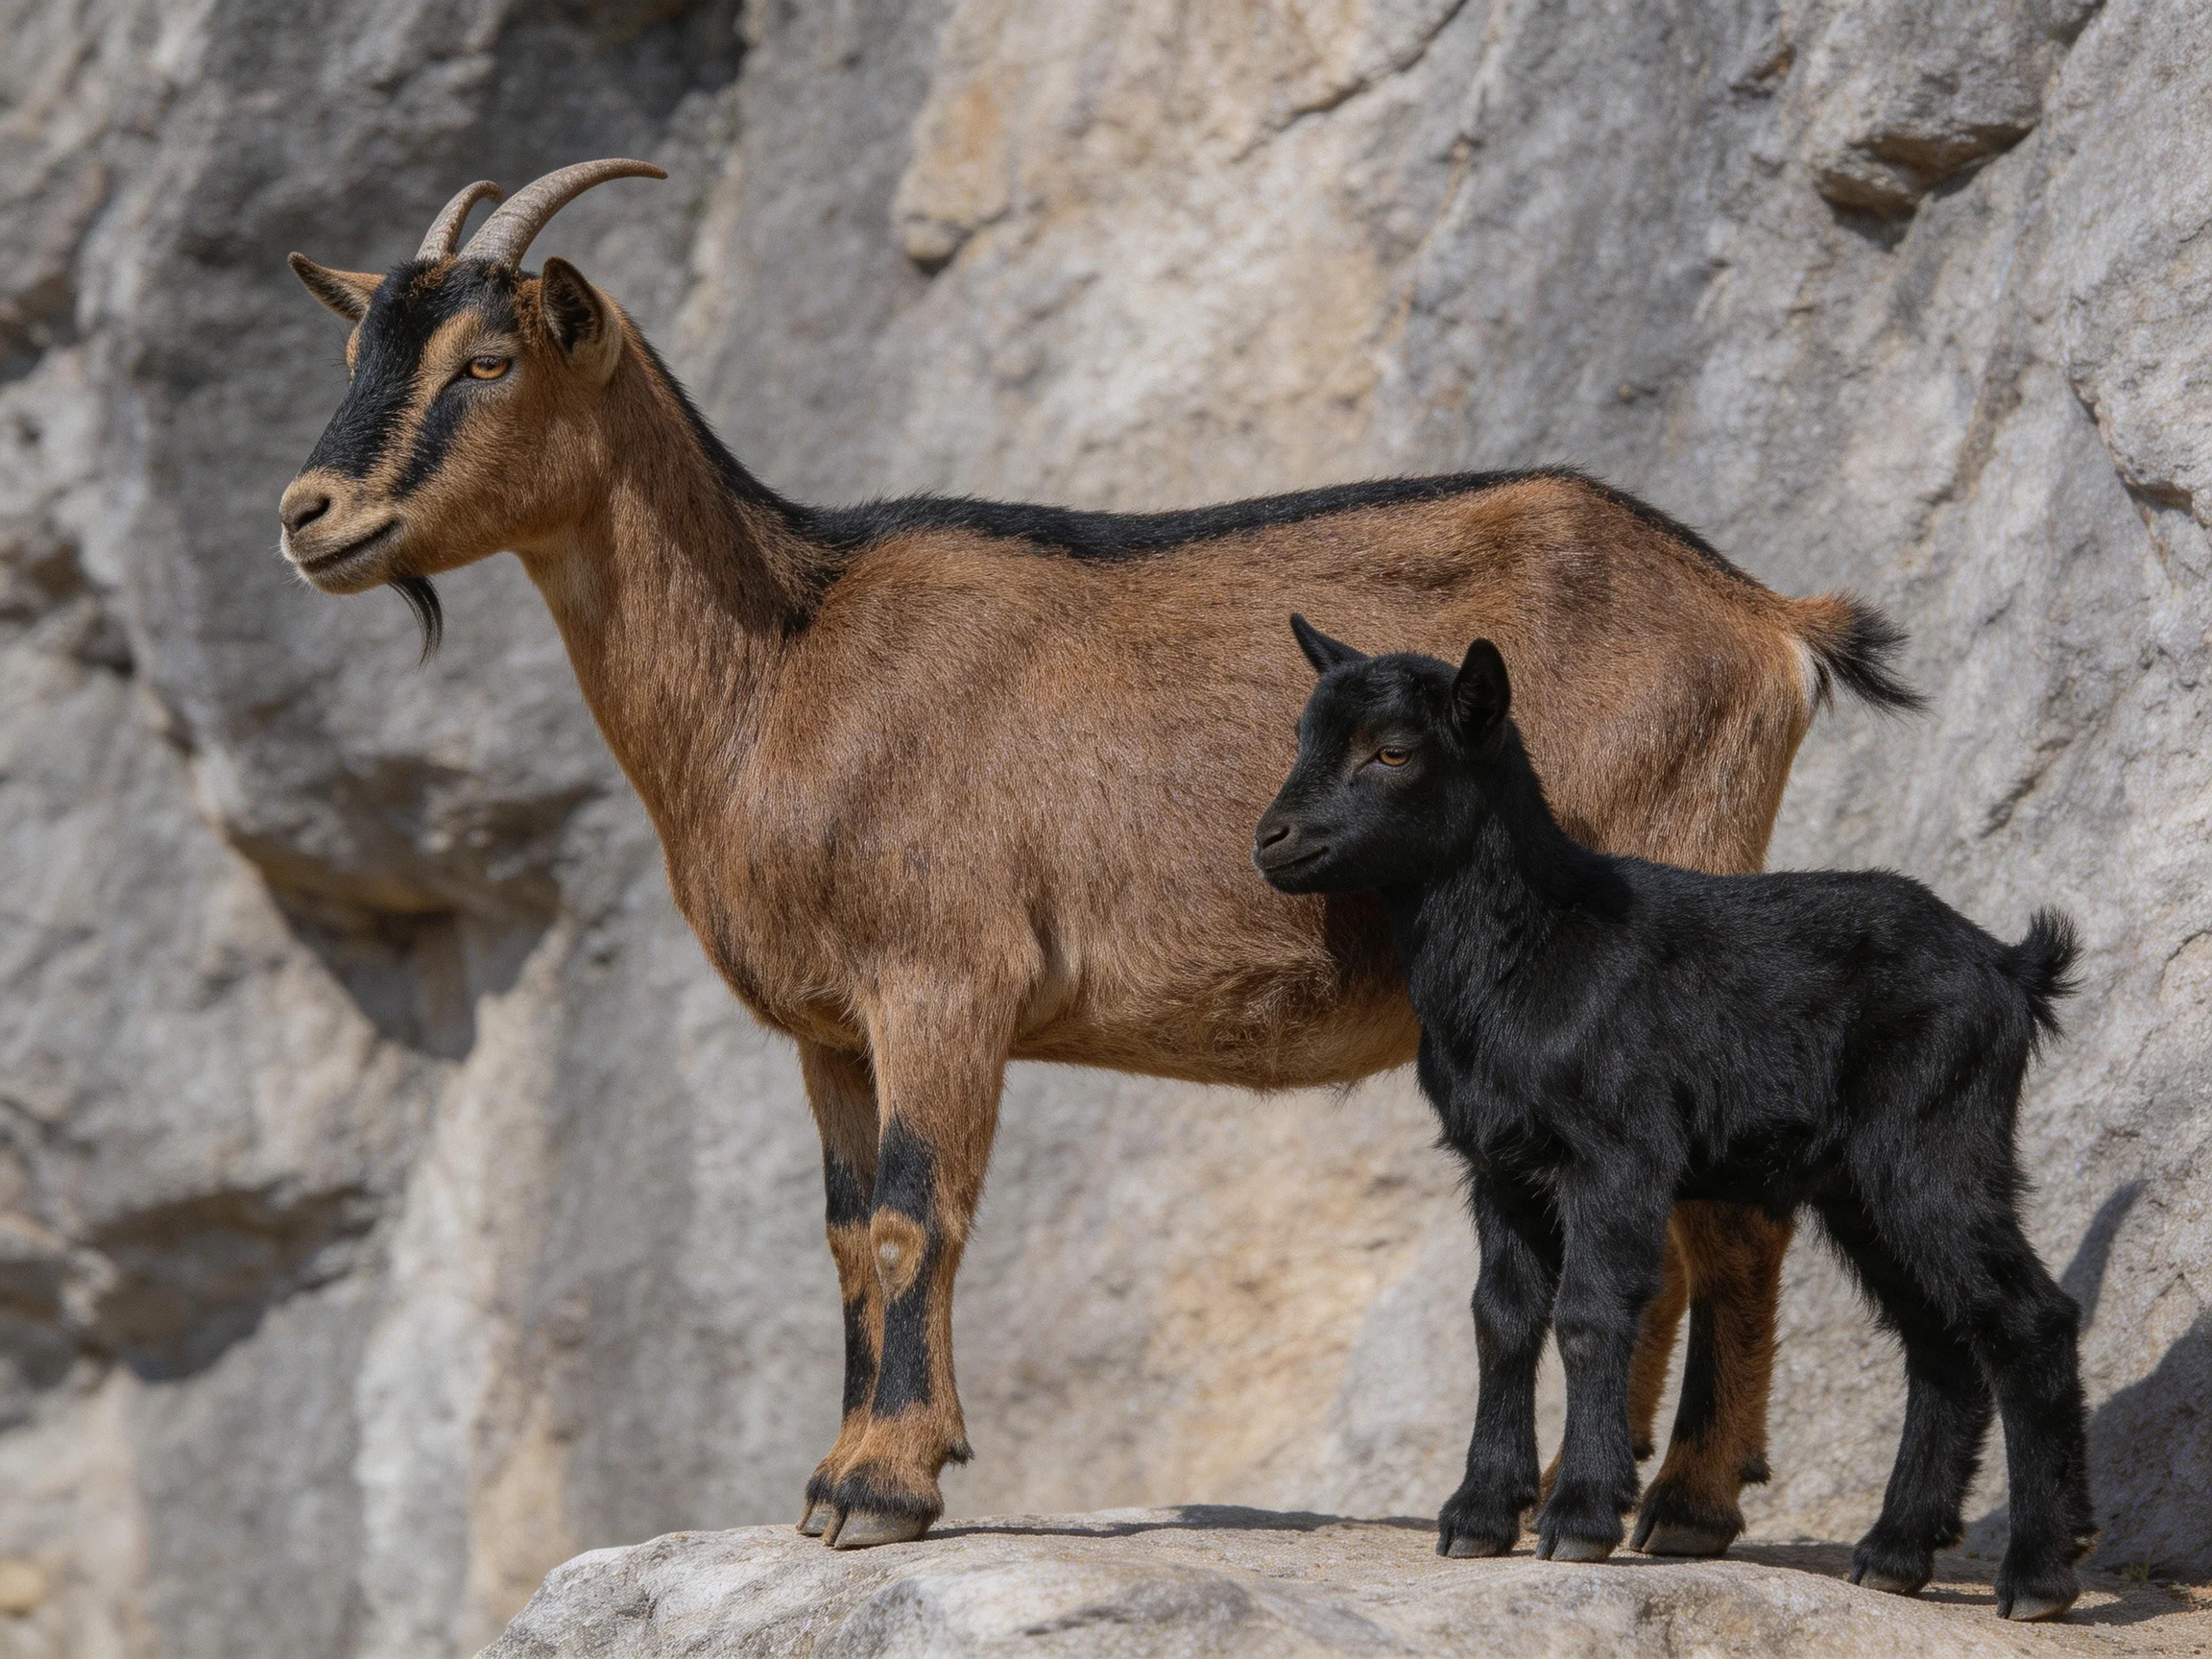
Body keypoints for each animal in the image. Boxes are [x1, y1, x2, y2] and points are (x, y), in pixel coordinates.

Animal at [279, 161, 1918, 1551]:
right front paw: (845, 1470)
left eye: (488, 362)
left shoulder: (944, 977)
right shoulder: (833, 1026)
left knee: (1726, 1221)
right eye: (360, 349)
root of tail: (1769, 620)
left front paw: (881, 1486)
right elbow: (845, 1236)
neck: (786, 660)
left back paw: (1679, 1506)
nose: (310, 515)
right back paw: (1611, 1497)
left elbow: (912, 1218)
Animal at [1254, 619, 2093, 1620]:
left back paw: (2037, 1574)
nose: (1272, 839)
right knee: (1941, 1345)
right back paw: (1894, 1553)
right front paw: (1479, 1514)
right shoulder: (1500, 1162)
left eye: (1392, 751)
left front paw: (1578, 1516)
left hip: (1938, 1141)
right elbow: (1501, 1318)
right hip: (1861, 1182)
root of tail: (2010, 969)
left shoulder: (1617, 1152)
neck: (1533, 951)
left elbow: (1589, 1312)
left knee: (2029, 1320)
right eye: (1303, 737)